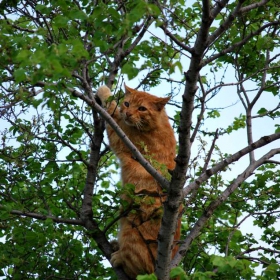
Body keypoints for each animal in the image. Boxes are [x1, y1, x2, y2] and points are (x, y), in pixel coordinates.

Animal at [96, 85, 180, 278]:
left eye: (142, 108)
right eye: (127, 104)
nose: (128, 113)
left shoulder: (121, 138)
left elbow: (112, 110)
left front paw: (104, 91)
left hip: (131, 232)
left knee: (137, 267)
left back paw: (118, 256)